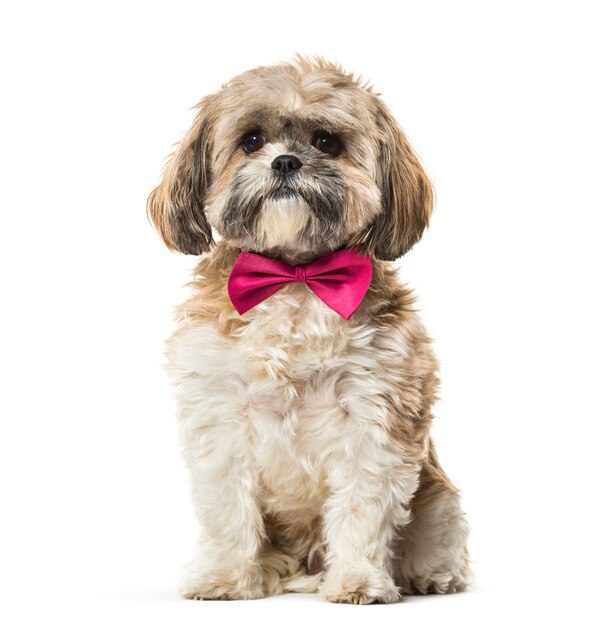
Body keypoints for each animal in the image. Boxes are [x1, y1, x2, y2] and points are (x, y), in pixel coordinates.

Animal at [148, 54, 472, 604]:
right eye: (252, 140)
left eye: (326, 142)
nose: (284, 162)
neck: (296, 279)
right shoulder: (221, 416)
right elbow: (227, 510)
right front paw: (225, 577)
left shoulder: (373, 417)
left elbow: (363, 509)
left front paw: (360, 580)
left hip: (438, 500)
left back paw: (430, 574)